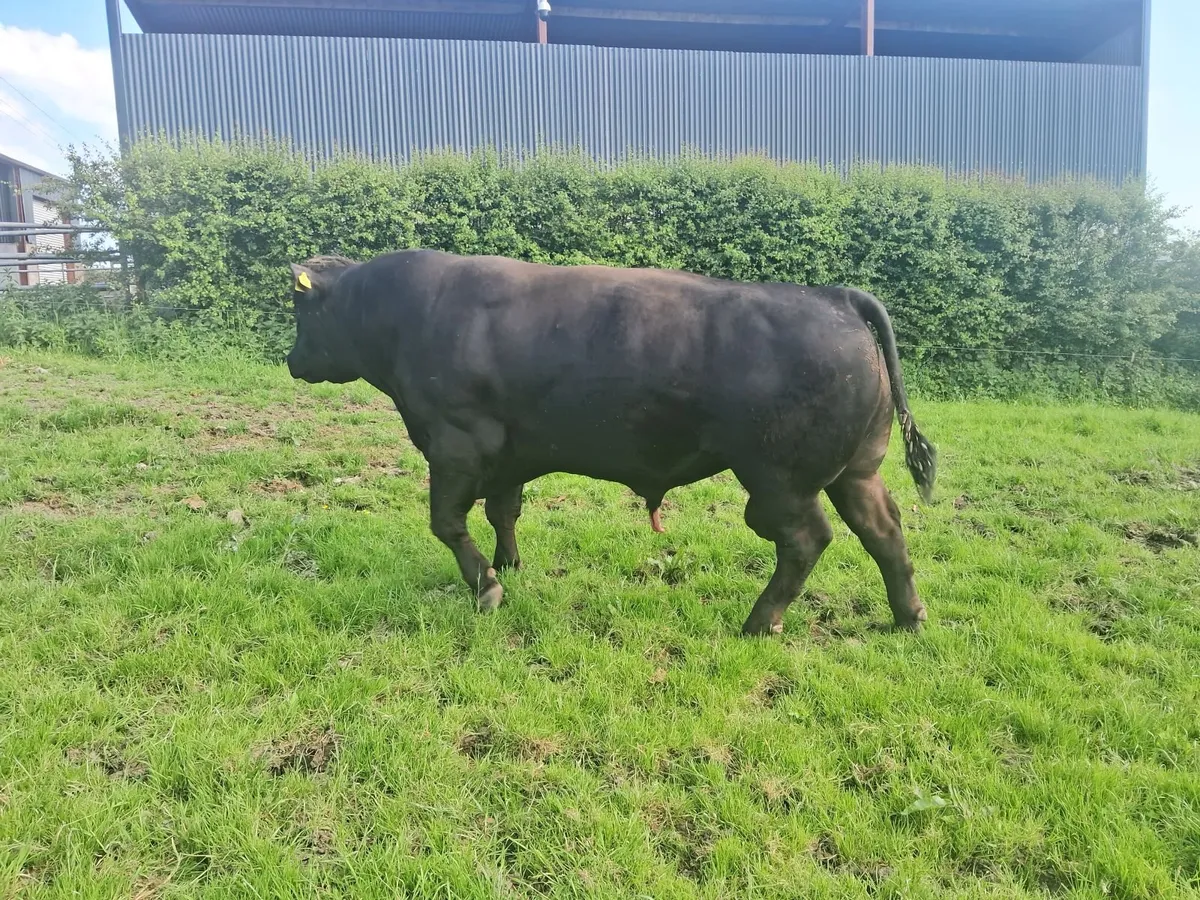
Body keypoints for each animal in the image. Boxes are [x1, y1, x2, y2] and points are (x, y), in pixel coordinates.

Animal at [283, 250, 937, 636]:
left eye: (300, 308)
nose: (291, 361)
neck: (409, 314)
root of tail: (833, 295)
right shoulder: (509, 455)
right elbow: (503, 511)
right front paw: (508, 564)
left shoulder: (455, 444)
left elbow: (446, 522)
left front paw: (487, 586)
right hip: (856, 471)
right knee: (884, 531)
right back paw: (908, 617)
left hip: (779, 481)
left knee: (806, 540)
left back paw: (760, 621)